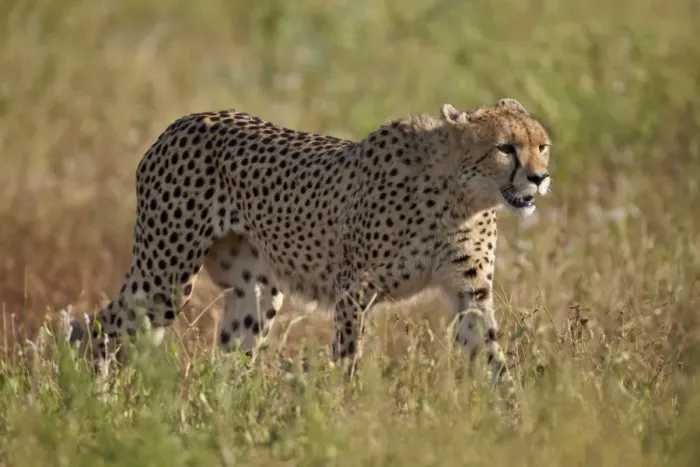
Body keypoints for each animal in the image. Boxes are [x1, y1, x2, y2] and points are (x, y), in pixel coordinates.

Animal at [68, 98, 552, 391]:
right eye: (505, 148)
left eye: (542, 146)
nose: (539, 178)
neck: (459, 195)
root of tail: (187, 120)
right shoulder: (354, 289)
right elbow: (348, 358)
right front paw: (348, 413)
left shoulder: (469, 292)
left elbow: (492, 356)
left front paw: (513, 420)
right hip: (164, 280)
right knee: (94, 327)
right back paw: (93, 399)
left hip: (255, 292)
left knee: (228, 362)